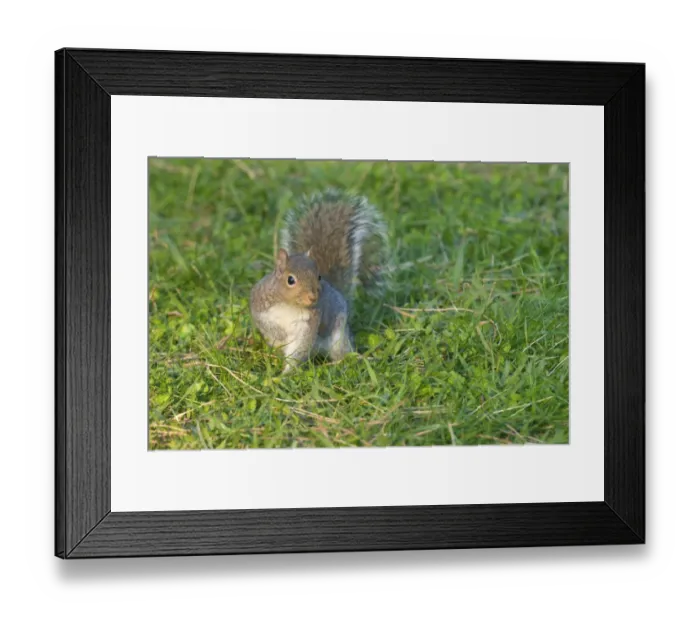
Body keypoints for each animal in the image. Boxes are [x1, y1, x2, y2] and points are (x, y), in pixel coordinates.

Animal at [249, 189, 390, 374]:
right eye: (290, 280)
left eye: (319, 276)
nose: (313, 297)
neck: (290, 305)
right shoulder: (260, 307)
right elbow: (267, 327)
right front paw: (280, 337)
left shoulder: (309, 323)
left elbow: (299, 349)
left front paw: (286, 374)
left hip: (338, 336)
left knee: (342, 353)